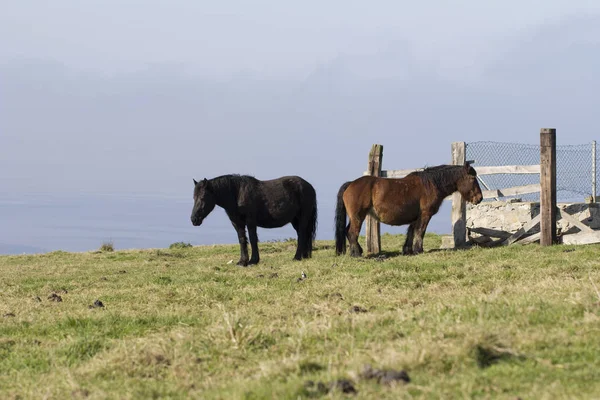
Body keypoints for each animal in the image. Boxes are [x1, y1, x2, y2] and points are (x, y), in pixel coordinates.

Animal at [336, 162, 486, 256]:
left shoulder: (415, 217)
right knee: (352, 233)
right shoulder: (425, 215)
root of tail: (351, 184)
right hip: (358, 217)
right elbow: (420, 232)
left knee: (347, 232)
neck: (430, 185)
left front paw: (407, 250)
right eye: (472, 179)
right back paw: (356, 253)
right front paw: (419, 249)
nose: (479, 198)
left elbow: (411, 232)